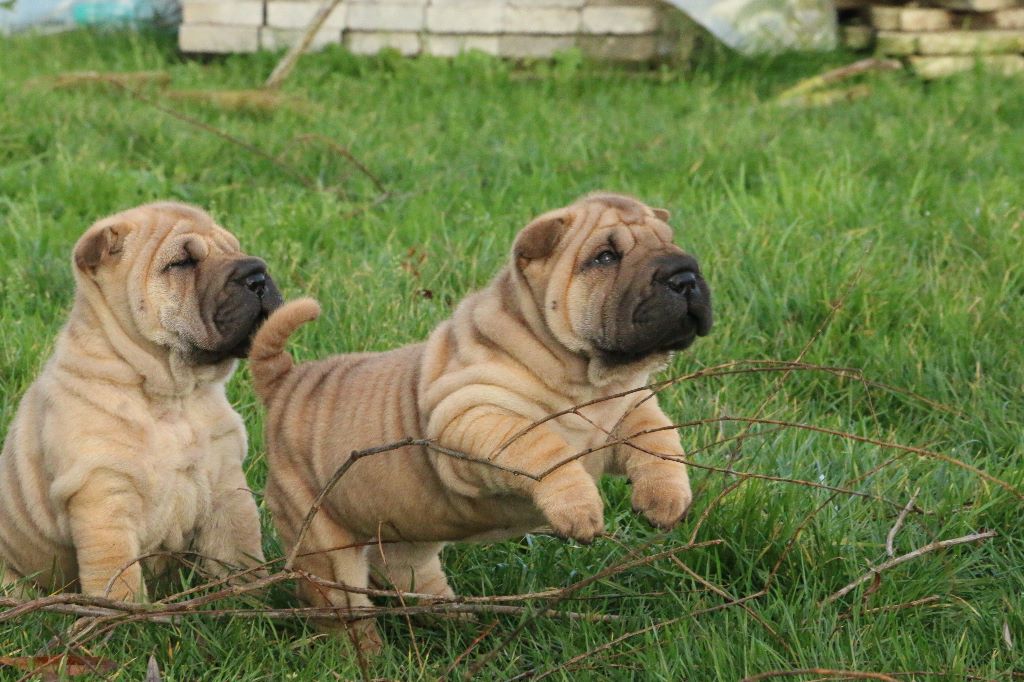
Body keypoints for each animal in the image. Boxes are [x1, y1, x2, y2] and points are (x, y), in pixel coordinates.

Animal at [0, 199, 282, 598]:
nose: (257, 274)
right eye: (182, 263)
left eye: (235, 248)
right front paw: (123, 612)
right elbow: (117, 575)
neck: (172, 396)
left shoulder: (227, 482)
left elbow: (240, 548)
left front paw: (251, 598)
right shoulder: (103, 492)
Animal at [247, 191, 712, 647]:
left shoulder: (630, 408)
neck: (588, 381)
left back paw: (453, 618)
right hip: (321, 541)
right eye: (605, 257)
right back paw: (367, 653)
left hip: (404, 532)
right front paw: (579, 511)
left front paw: (666, 499)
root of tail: (288, 382)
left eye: (671, 242)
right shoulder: (478, 417)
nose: (685, 274)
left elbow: (659, 439)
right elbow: (548, 449)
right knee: (340, 606)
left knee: (407, 572)